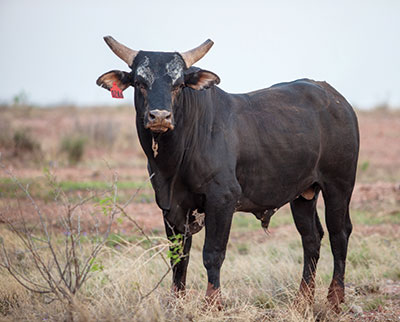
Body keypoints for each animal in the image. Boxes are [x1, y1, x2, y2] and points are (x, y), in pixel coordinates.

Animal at [97, 36, 360, 310]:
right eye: (139, 82)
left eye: (179, 84)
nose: (160, 116)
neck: (174, 160)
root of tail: (335, 98)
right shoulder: (171, 206)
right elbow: (179, 256)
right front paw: (176, 302)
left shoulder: (222, 199)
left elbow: (212, 253)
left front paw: (212, 302)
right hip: (303, 194)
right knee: (311, 238)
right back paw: (302, 300)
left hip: (339, 185)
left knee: (339, 234)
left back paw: (335, 298)